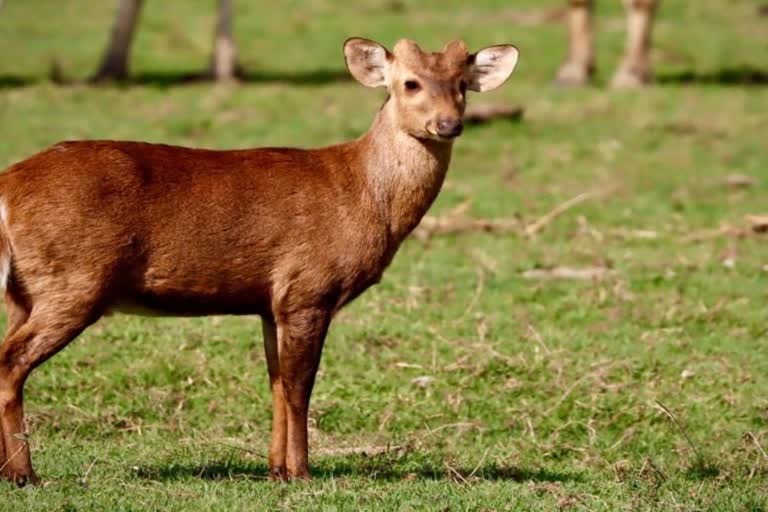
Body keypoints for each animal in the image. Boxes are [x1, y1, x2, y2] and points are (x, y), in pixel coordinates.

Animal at [0, 36, 520, 484]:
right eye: (409, 82)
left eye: (461, 83)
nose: (448, 124)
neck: (364, 196)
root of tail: (8, 187)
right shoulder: (309, 287)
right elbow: (299, 387)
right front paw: (302, 472)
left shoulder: (271, 301)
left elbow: (275, 383)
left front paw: (275, 470)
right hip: (74, 277)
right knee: (10, 360)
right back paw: (25, 474)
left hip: (25, 290)